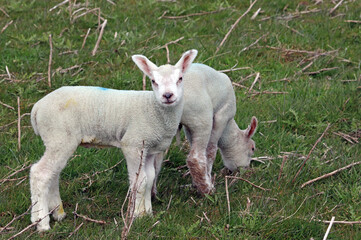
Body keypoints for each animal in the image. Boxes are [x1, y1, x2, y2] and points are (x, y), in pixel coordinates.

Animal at [28, 49, 197, 232]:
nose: (167, 95)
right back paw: (41, 222)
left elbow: (150, 179)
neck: (153, 108)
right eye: (153, 81)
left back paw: (57, 213)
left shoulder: (149, 148)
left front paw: (149, 214)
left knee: (53, 173)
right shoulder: (133, 144)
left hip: (58, 140)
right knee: (40, 173)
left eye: (180, 78)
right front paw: (138, 215)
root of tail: (37, 108)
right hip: (59, 136)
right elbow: (140, 181)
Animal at [150, 63, 258, 195]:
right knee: (195, 159)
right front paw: (207, 181)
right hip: (202, 118)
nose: (245, 170)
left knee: (154, 160)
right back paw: (207, 190)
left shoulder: (189, 127)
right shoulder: (222, 116)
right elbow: (210, 151)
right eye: (252, 148)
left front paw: (196, 183)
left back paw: (152, 193)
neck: (229, 127)